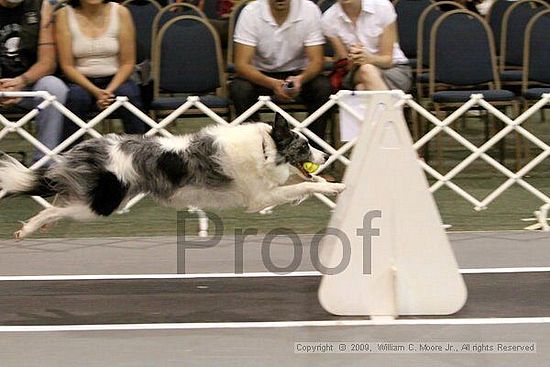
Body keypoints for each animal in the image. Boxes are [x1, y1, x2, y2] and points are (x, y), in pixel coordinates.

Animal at [0, 116, 344, 240]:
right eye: (305, 146)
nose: (326, 157)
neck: (265, 148)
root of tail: (91, 146)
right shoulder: (258, 198)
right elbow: (300, 185)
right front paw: (337, 185)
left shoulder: (268, 187)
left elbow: (305, 184)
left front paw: (333, 185)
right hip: (99, 205)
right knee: (55, 208)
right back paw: (29, 228)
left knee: (59, 198)